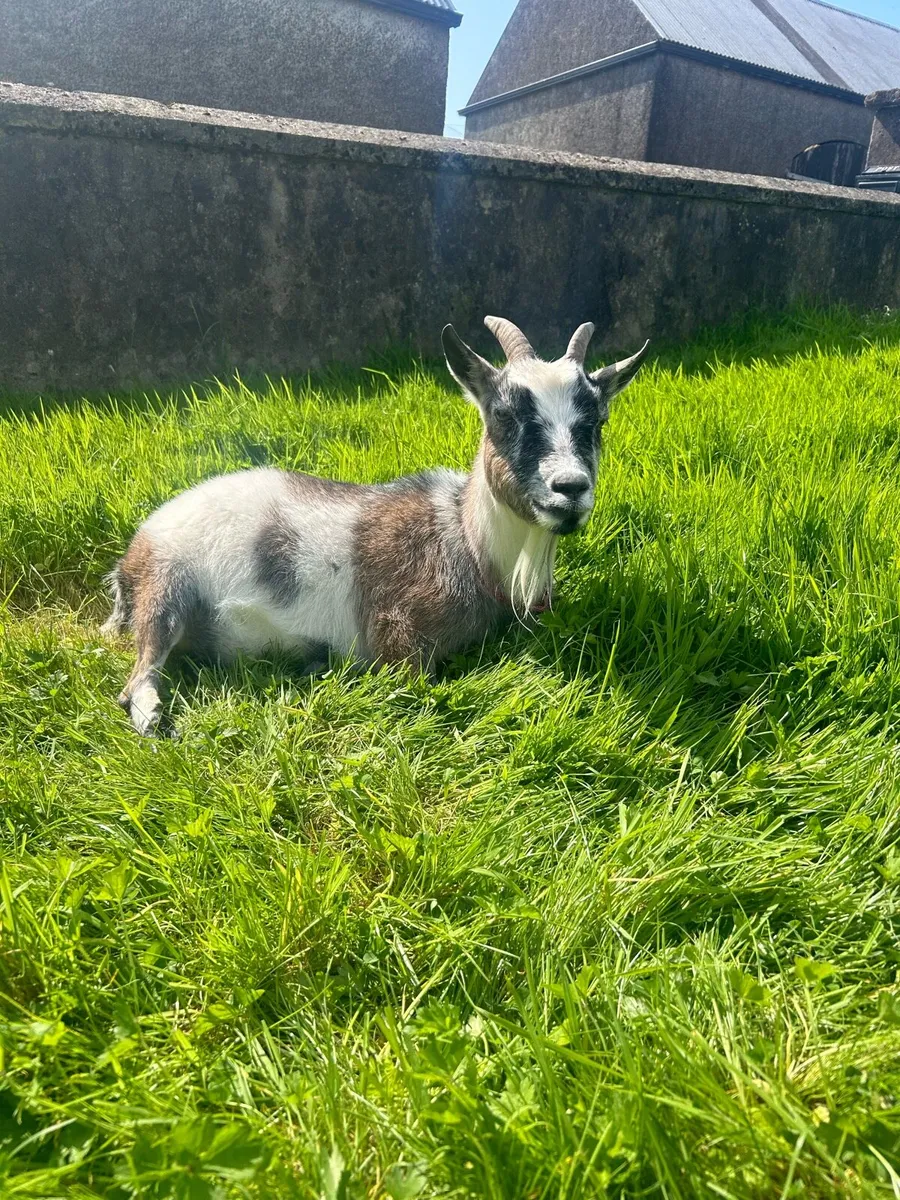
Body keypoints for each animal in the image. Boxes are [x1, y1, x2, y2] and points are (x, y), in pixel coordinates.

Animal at [104, 317, 648, 734]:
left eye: (597, 421)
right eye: (504, 414)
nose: (570, 488)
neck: (464, 540)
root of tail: (129, 558)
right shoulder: (398, 633)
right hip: (166, 585)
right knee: (138, 677)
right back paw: (154, 719)